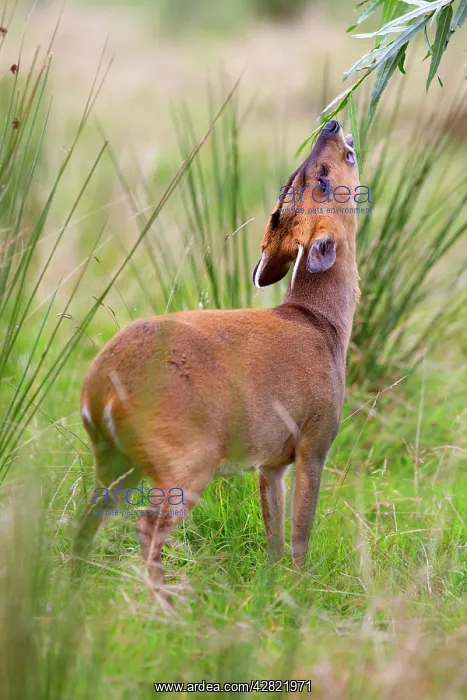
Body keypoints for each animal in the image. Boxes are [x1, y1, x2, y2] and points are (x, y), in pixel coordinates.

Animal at [74, 119, 360, 601]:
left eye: (292, 181)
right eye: (318, 180)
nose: (332, 125)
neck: (323, 326)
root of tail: (100, 389)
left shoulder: (271, 460)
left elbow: (273, 530)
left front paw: (270, 586)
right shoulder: (315, 439)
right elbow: (301, 532)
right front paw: (300, 592)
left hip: (114, 458)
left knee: (89, 516)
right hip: (187, 456)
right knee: (146, 527)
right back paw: (169, 603)